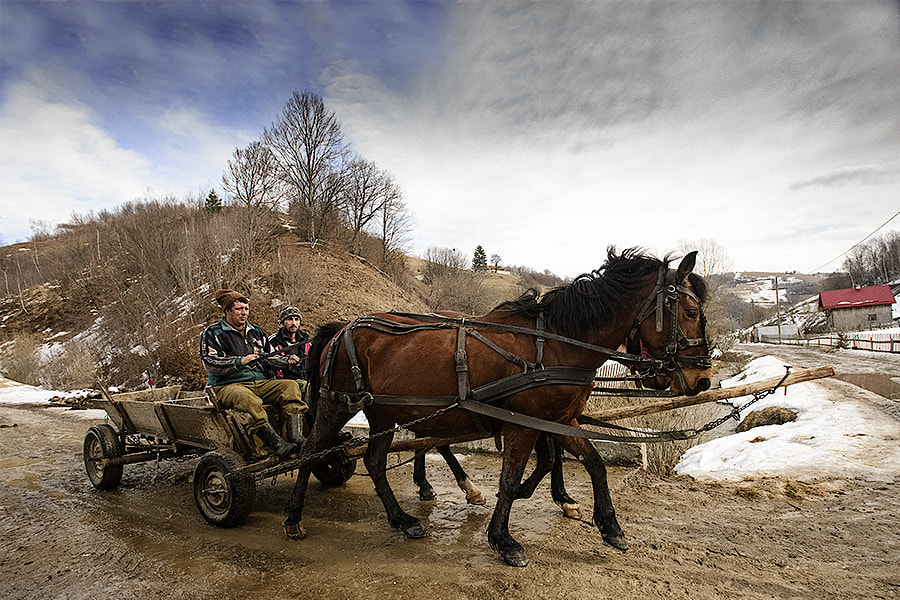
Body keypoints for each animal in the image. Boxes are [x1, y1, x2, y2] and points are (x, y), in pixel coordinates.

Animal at [284, 248, 708, 568]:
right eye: (690, 312)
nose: (703, 378)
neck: (556, 343)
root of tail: (341, 327)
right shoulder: (525, 424)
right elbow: (511, 477)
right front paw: (504, 539)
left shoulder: (561, 419)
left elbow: (592, 463)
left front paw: (608, 526)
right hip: (337, 405)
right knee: (312, 452)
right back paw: (293, 517)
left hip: (388, 413)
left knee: (376, 460)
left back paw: (403, 518)